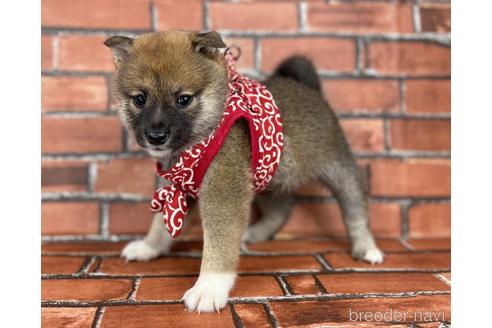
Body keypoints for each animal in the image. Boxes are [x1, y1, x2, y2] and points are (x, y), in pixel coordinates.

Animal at [105, 30, 386, 312]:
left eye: (183, 99)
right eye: (139, 99)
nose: (156, 137)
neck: (200, 139)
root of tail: (311, 89)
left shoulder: (222, 192)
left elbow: (218, 244)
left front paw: (209, 287)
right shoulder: (177, 188)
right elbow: (160, 224)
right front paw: (148, 247)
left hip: (339, 169)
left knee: (355, 209)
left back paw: (366, 247)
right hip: (269, 179)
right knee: (281, 209)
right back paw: (255, 233)